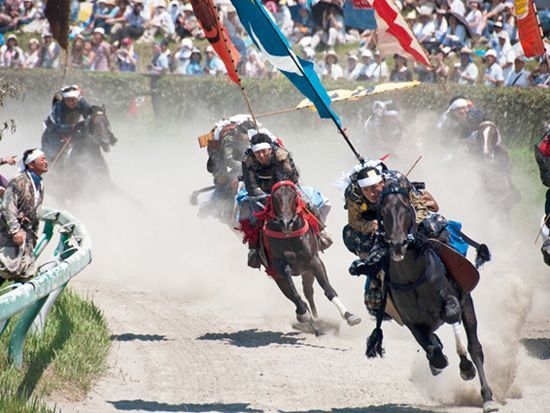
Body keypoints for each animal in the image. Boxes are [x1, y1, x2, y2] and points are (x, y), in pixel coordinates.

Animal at [258, 180, 362, 328]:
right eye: (275, 197)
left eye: (294, 195)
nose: (286, 222)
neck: (289, 236)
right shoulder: (278, 265)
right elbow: (292, 289)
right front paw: (302, 312)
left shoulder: (314, 261)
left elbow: (328, 289)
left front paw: (349, 316)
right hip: (277, 275)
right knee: (291, 293)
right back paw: (305, 314)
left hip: (307, 271)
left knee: (308, 291)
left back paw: (316, 318)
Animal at [380, 181, 500, 412]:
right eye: (383, 212)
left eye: (406, 209)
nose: (399, 243)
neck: (412, 279)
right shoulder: (410, 320)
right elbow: (433, 353)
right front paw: (438, 357)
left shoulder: (452, 299)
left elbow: (452, 315)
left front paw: (466, 367)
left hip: (467, 302)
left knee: (475, 347)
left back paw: (487, 396)